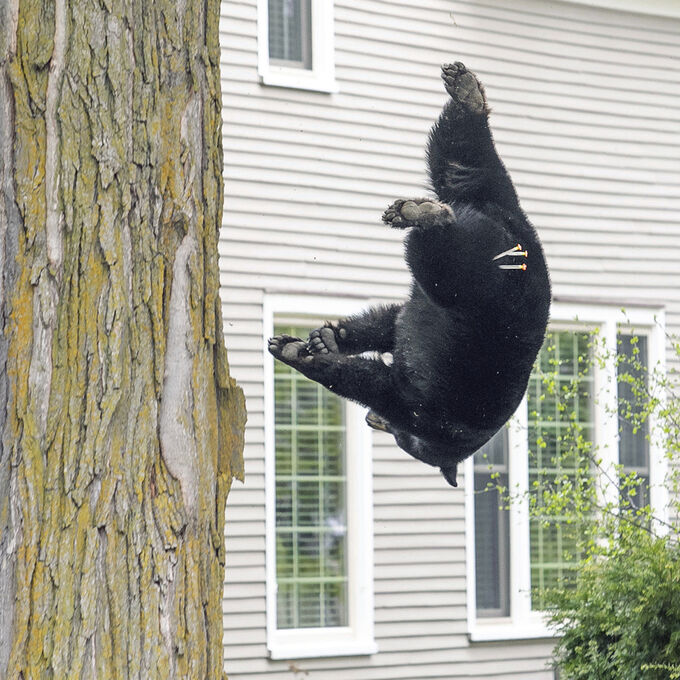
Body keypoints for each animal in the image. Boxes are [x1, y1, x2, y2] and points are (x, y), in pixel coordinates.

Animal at [268, 63, 548, 486]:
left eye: (400, 439)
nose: (372, 421)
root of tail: (513, 234)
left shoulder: (431, 414)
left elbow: (382, 370)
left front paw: (314, 346)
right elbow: (390, 326)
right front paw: (324, 340)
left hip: (476, 277)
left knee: (453, 170)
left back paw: (425, 204)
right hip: (489, 223)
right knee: (460, 158)